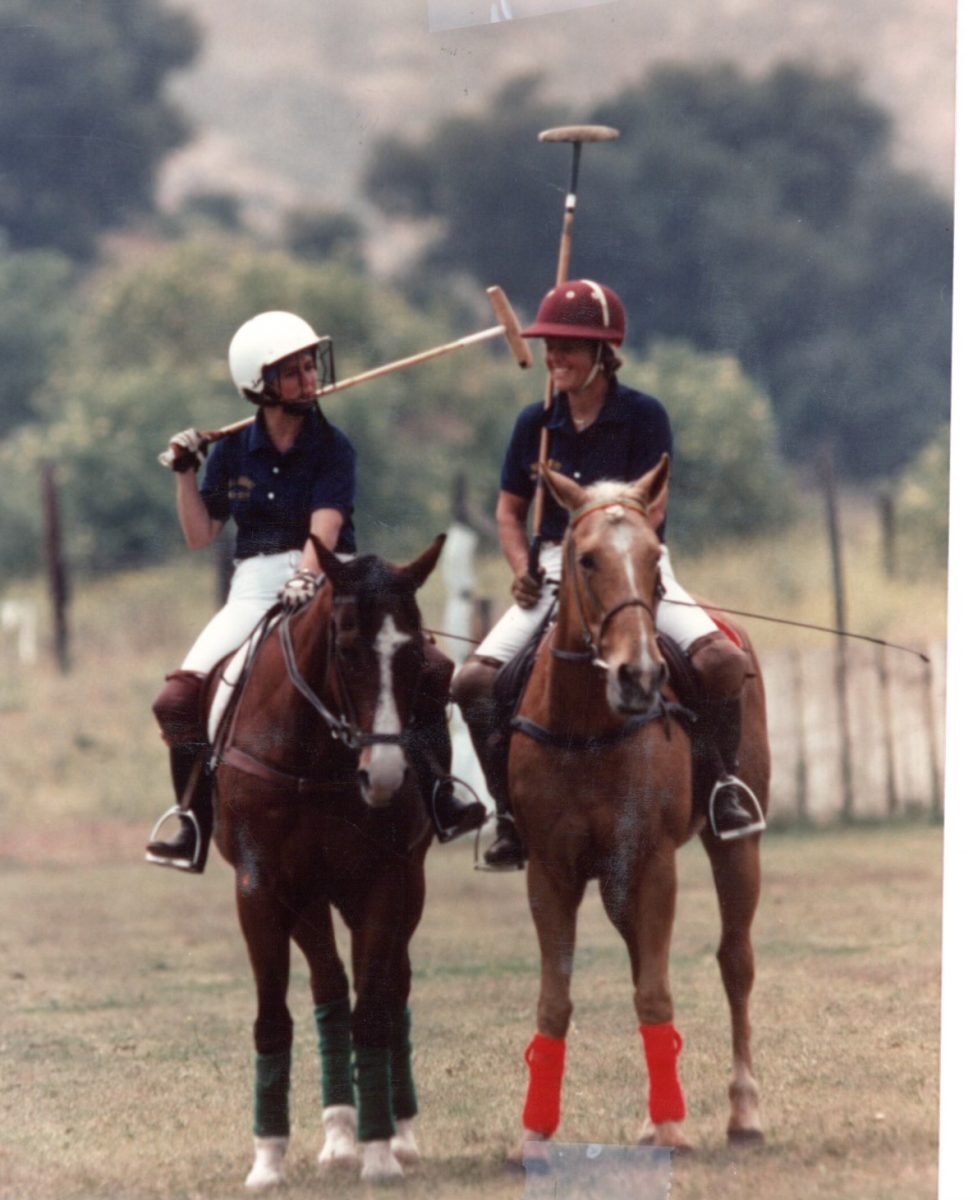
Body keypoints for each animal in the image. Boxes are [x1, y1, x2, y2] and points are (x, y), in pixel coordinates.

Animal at [211, 542, 446, 1190]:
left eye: (415, 653)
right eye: (344, 647)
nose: (383, 776)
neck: (312, 755)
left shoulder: (388, 882)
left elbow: (375, 1013)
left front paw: (380, 1152)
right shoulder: (262, 888)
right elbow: (275, 1016)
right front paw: (268, 1159)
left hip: (400, 889)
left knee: (389, 990)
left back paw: (398, 1131)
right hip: (313, 898)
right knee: (330, 987)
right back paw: (339, 1133)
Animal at [511, 456, 767, 1152]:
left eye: (656, 558)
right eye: (586, 559)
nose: (641, 676)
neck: (585, 724)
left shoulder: (654, 860)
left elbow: (656, 991)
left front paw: (675, 1126)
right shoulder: (549, 869)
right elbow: (555, 999)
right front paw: (534, 1134)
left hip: (735, 846)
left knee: (735, 960)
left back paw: (744, 1111)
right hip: (616, 880)